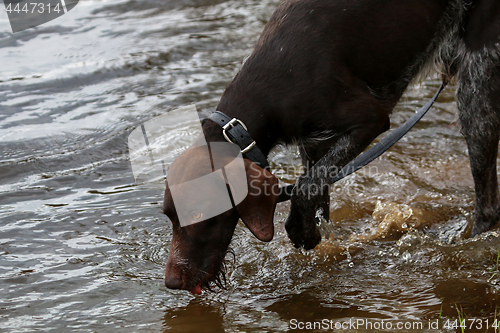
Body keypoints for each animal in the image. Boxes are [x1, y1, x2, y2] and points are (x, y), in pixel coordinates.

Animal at [162, 0, 500, 292]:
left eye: (198, 214)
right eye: (169, 217)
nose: (172, 282)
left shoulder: (370, 120)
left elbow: (304, 188)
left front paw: (302, 232)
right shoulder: (314, 146)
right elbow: (316, 193)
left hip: (476, 92)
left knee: (487, 207)